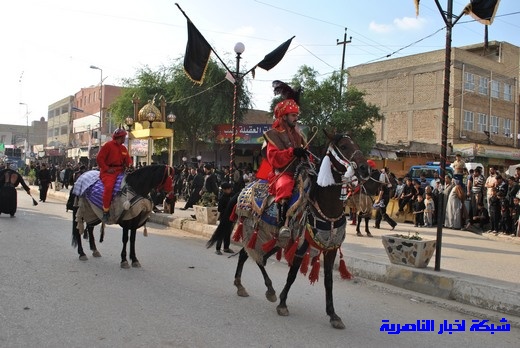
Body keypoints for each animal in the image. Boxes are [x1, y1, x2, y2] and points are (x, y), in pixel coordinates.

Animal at [234, 130, 372, 328]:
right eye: (344, 146)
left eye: (357, 144)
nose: (364, 169)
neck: (325, 207)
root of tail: (249, 185)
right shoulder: (301, 246)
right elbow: (292, 275)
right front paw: (283, 304)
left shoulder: (331, 249)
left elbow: (328, 281)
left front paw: (333, 315)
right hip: (252, 229)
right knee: (253, 256)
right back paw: (261, 289)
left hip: (271, 239)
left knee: (253, 256)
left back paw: (249, 287)